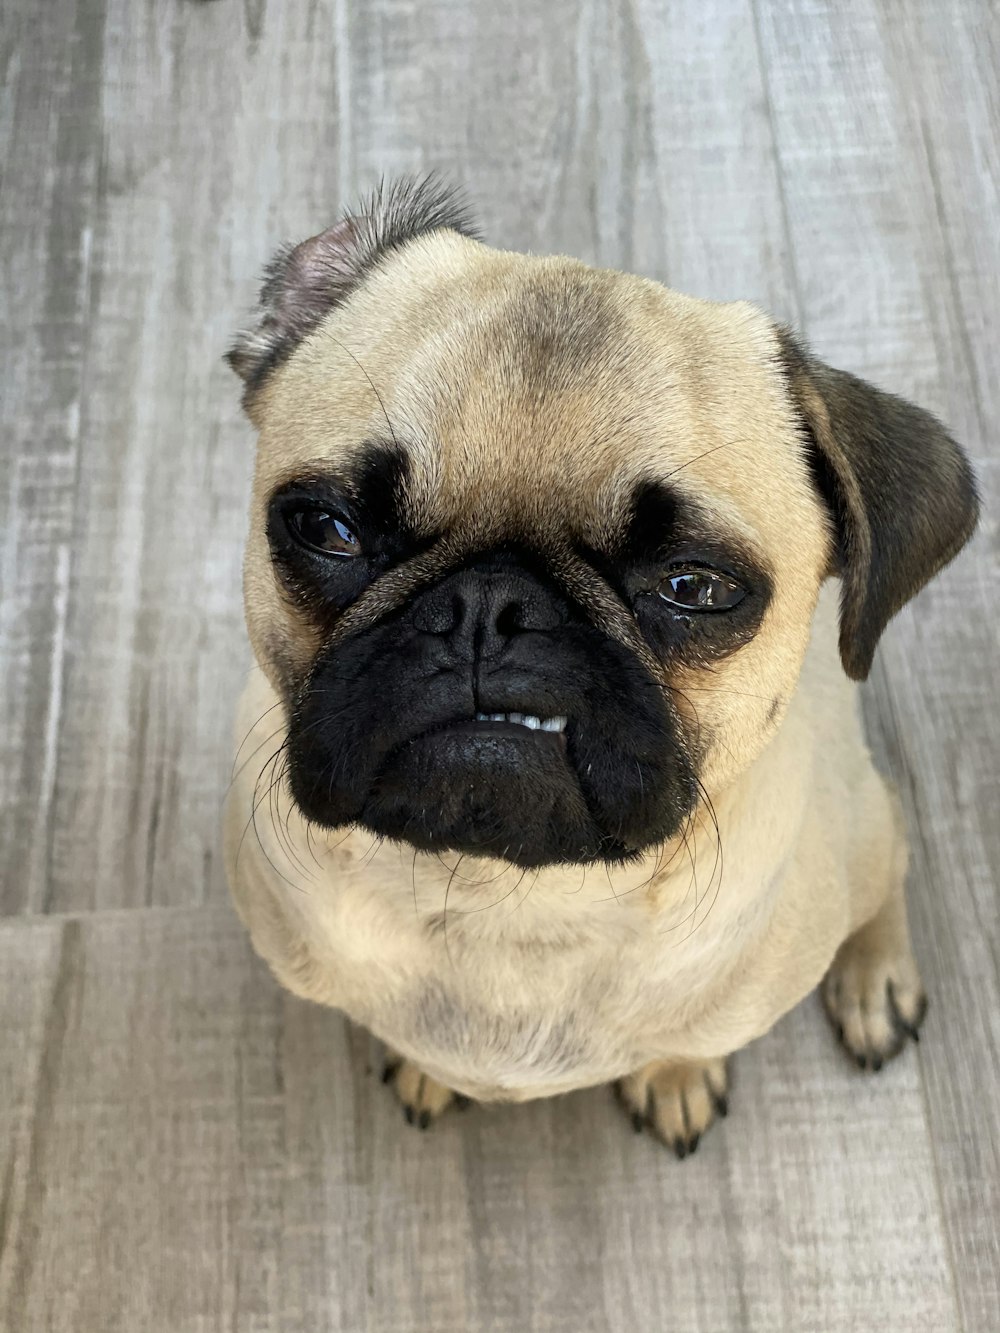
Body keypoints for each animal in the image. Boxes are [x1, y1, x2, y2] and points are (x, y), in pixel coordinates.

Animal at [225, 177, 981, 1157]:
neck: (506, 898)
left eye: (694, 586)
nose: (492, 609)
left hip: (861, 824)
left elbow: (689, 1041)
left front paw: (676, 1075)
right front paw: (430, 1072)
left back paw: (874, 978)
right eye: (328, 528)